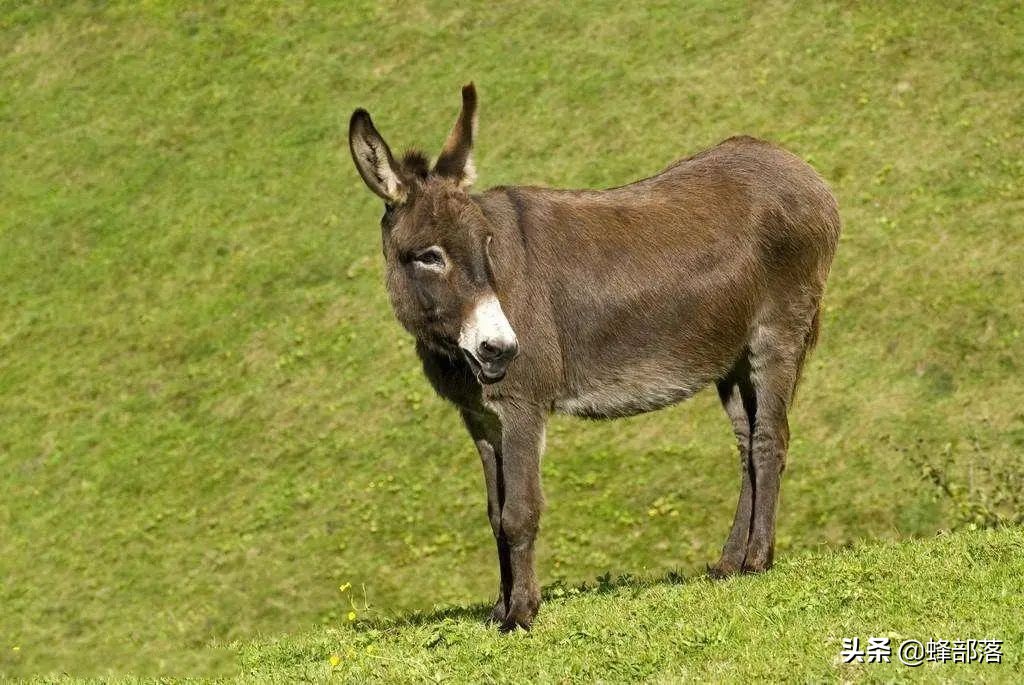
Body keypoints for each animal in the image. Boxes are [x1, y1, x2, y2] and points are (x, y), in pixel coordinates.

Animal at [347, 83, 840, 631]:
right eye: (428, 256)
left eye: (488, 243)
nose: (500, 349)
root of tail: (800, 168)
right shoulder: (479, 419)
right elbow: (495, 514)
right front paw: (499, 609)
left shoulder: (522, 407)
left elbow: (519, 513)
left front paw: (522, 614)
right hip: (729, 361)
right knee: (747, 444)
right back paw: (730, 562)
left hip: (777, 336)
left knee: (770, 441)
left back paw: (758, 560)